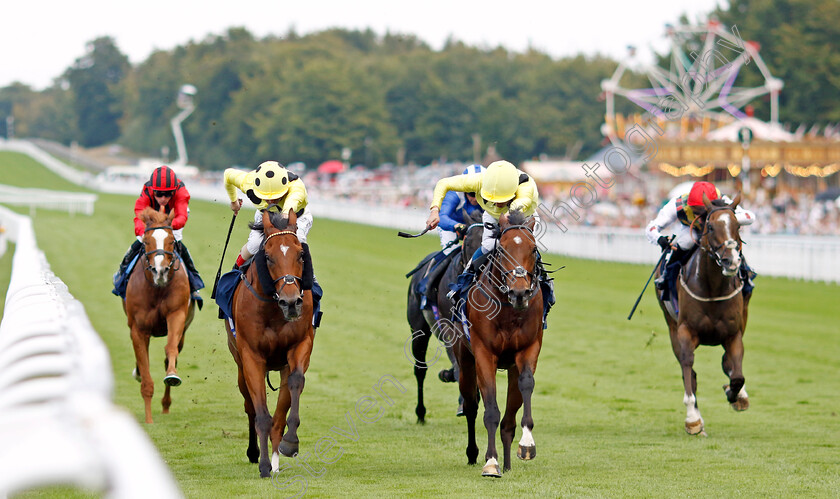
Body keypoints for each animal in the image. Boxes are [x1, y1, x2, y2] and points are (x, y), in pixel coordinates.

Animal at [123, 205, 195, 424]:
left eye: (171, 240)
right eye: (147, 241)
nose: (160, 271)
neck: (157, 289)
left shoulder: (177, 314)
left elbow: (170, 349)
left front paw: (172, 375)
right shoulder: (138, 329)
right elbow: (146, 377)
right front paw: (148, 421)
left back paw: (165, 404)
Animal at [223, 209, 316, 478]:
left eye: (300, 254)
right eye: (268, 256)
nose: (291, 302)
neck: (274, 311)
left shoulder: (300, 344)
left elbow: (295, 384)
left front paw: (290, 443)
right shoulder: (251, 356)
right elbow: (260, 413)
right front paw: (263, 464)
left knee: (280, 409)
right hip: (240, 366)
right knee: (250, 406)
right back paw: (256, 453)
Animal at [452, 210, 544, 476]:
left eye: (533, 249)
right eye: (502, 249)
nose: (520, 292)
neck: (508, 309)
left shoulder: (528, 348)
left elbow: (526, 384)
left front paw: (527, 445)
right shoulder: (484, 352)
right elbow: (490, 409)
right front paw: (491, 462)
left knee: (509, 419)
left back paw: (508, 462)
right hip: (465, 360)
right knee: (471, 406)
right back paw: (474, 453)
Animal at [652, 193, 752, 436]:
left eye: (737, 225)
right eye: (710, 226)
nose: (731, 261)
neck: (712, 288)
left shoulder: (734, 334)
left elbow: (737, 376)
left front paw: (735, 395)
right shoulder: (685, 331)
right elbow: (689, 369)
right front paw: (692, 419)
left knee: (728, 364)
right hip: (671, 327)